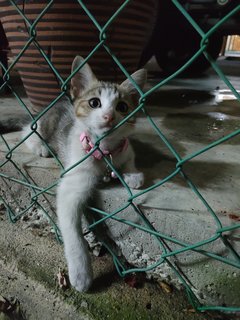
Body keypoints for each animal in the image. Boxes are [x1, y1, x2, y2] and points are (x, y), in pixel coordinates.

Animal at [22, 56, 146, 292]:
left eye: (123, 107)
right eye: (94, 103)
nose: (108, 116)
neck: (104, 151)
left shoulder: (127, 148)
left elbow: (131, 160)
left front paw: (132, 175)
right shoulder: (72, 182)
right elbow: (72, 231)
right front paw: (81, 273)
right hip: (45, 124)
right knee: (29, 130)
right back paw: (40, 146)